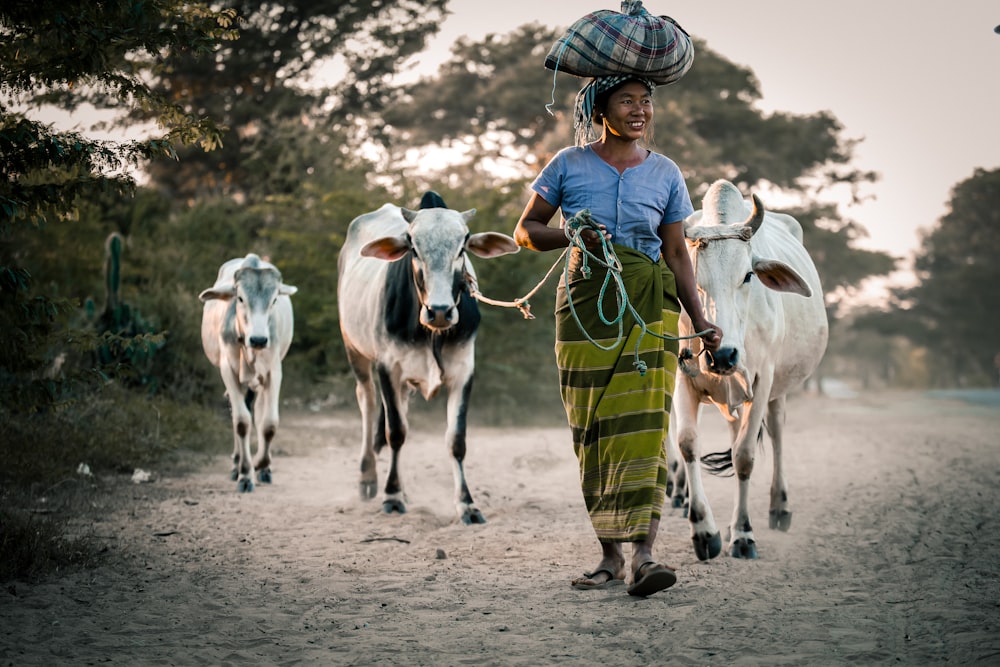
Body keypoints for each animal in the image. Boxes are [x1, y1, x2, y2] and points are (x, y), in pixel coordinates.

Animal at [199, 253, 296, 494]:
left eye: (274, 300)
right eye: (240, 298)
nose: (259, 339)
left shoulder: (274, 371)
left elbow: (268, 423)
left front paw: (262, 464)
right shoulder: (228, 370)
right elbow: (241, 422)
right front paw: (245, 473)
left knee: (258, 412)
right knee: (239, 410)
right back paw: (236, 464)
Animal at [340, 190, 520, 524]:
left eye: (463, 247)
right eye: (413, 246)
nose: (439, 311)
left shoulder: (463, 371)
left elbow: (456, 440)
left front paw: (467, 504)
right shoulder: (388, 368)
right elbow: (396, 432)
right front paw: (392, 496)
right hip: (355, 350)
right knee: (368, 405)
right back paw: (369, 479)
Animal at [672, 180, 828, 560]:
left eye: (748, 276)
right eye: (692, 280)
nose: (723, 355)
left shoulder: (763, 379)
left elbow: (744, 457)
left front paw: (743, 534)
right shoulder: (682, 377)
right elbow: (687, 444)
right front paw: (705, 531)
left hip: (777, 389)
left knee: (776, 433)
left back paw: (779, 508)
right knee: (733, 432)